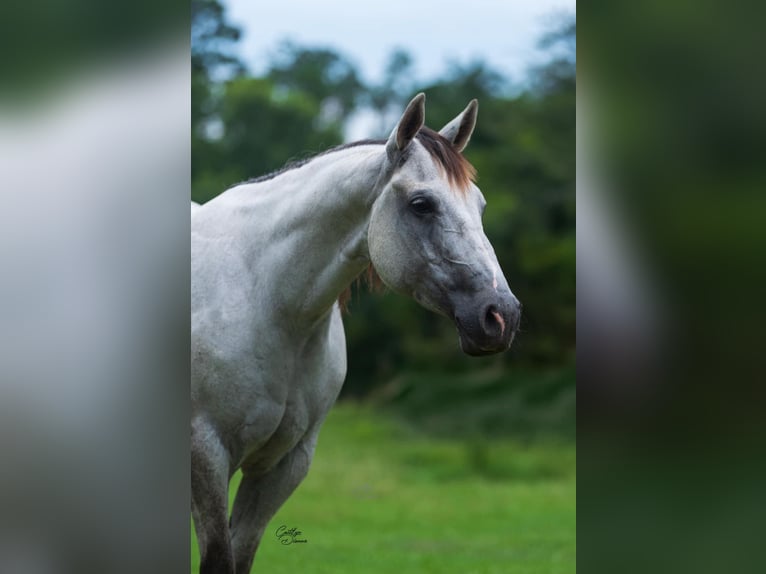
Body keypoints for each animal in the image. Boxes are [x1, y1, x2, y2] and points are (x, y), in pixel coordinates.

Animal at [190, 92, 520, 572]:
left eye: (479, 205)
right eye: (422, 204)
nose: (502, 316)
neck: (263, 297)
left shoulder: (283, 465)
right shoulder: (206, 455)